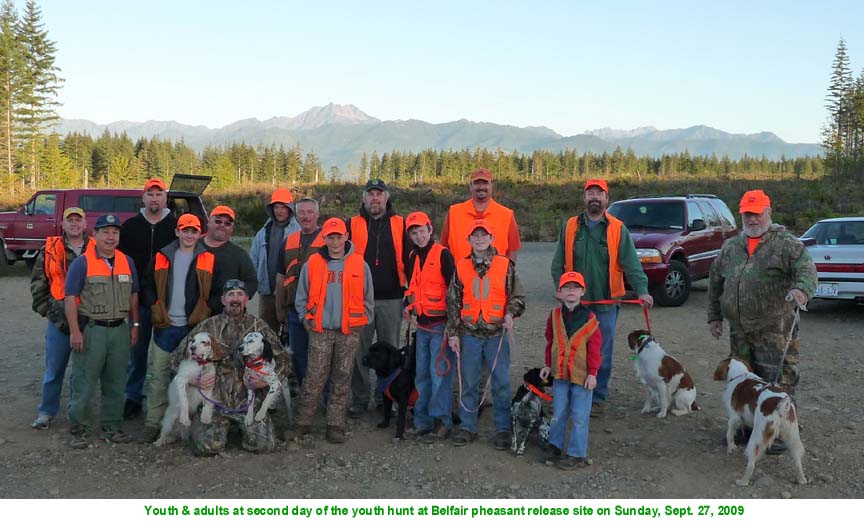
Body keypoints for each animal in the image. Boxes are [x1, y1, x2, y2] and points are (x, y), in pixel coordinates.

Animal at [712, 356, 808, 486]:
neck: (740, 374)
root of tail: (782, 405)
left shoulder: (734, 417)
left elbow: (729, 435)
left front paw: (731, 447)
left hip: (758, 436)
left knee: (752, 464)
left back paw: (743, 481)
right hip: (792, 435)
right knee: (797, 460)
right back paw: (801, 479)